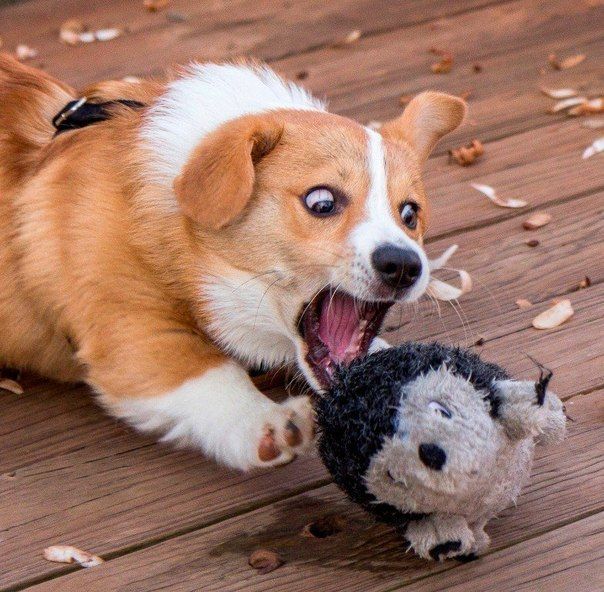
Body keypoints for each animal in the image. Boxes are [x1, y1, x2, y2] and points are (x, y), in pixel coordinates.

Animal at [0, 55, 465, 470]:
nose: (403, 265)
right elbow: (213, 374)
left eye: (410, 214)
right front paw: (266, 422)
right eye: (321, 202)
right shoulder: (130, 329)